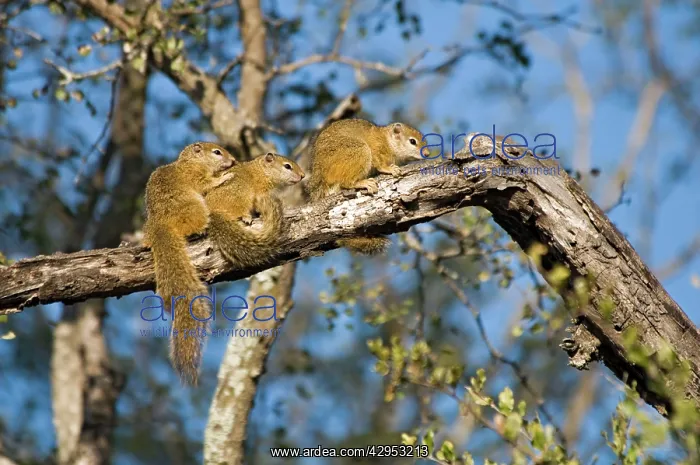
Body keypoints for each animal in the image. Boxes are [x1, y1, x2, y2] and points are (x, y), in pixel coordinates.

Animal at [143, 142, 237, 386]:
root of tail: (160, 226)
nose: (233, 161)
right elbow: (207, 184)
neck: (190, 162)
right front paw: (225, 176)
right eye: (217, 152)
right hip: (196, 210)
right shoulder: (195, 177)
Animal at [306, 118, 425, 255]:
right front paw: (389, 169)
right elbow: (379, 163)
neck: (388, 141)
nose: (427, 153)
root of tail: (320, 176)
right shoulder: (376, 146)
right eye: (412, 141)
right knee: (346, 182)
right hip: (357, 151)